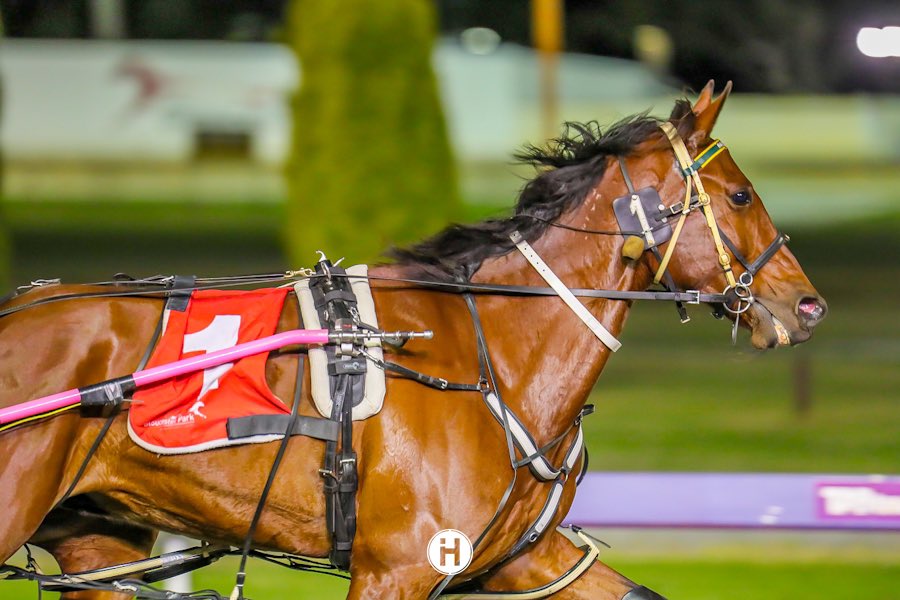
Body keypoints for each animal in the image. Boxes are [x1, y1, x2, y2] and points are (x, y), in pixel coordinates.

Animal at [0, 81, 826, 600]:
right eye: (741, 194)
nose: (807, 304)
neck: (490, 353)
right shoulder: (395, 568)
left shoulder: (518, 558)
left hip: (98, 539)